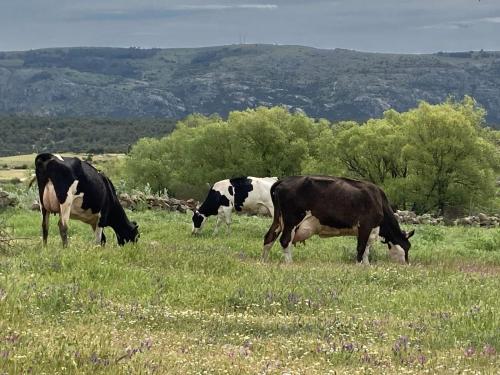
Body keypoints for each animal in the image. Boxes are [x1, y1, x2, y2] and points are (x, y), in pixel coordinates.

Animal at [262, 176, 414, 264]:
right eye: (407, 247)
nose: (407, 264)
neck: (378, 200)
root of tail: (283, 181)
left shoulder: (369, 230)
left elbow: (366, 250)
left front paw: (366, 266)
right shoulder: (365, 225)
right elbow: (361, 248)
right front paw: (359, 266)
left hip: (278, 219)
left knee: (269, 237)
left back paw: (264, 262)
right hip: (292, 219)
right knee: (285, 240)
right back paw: (289, 264)